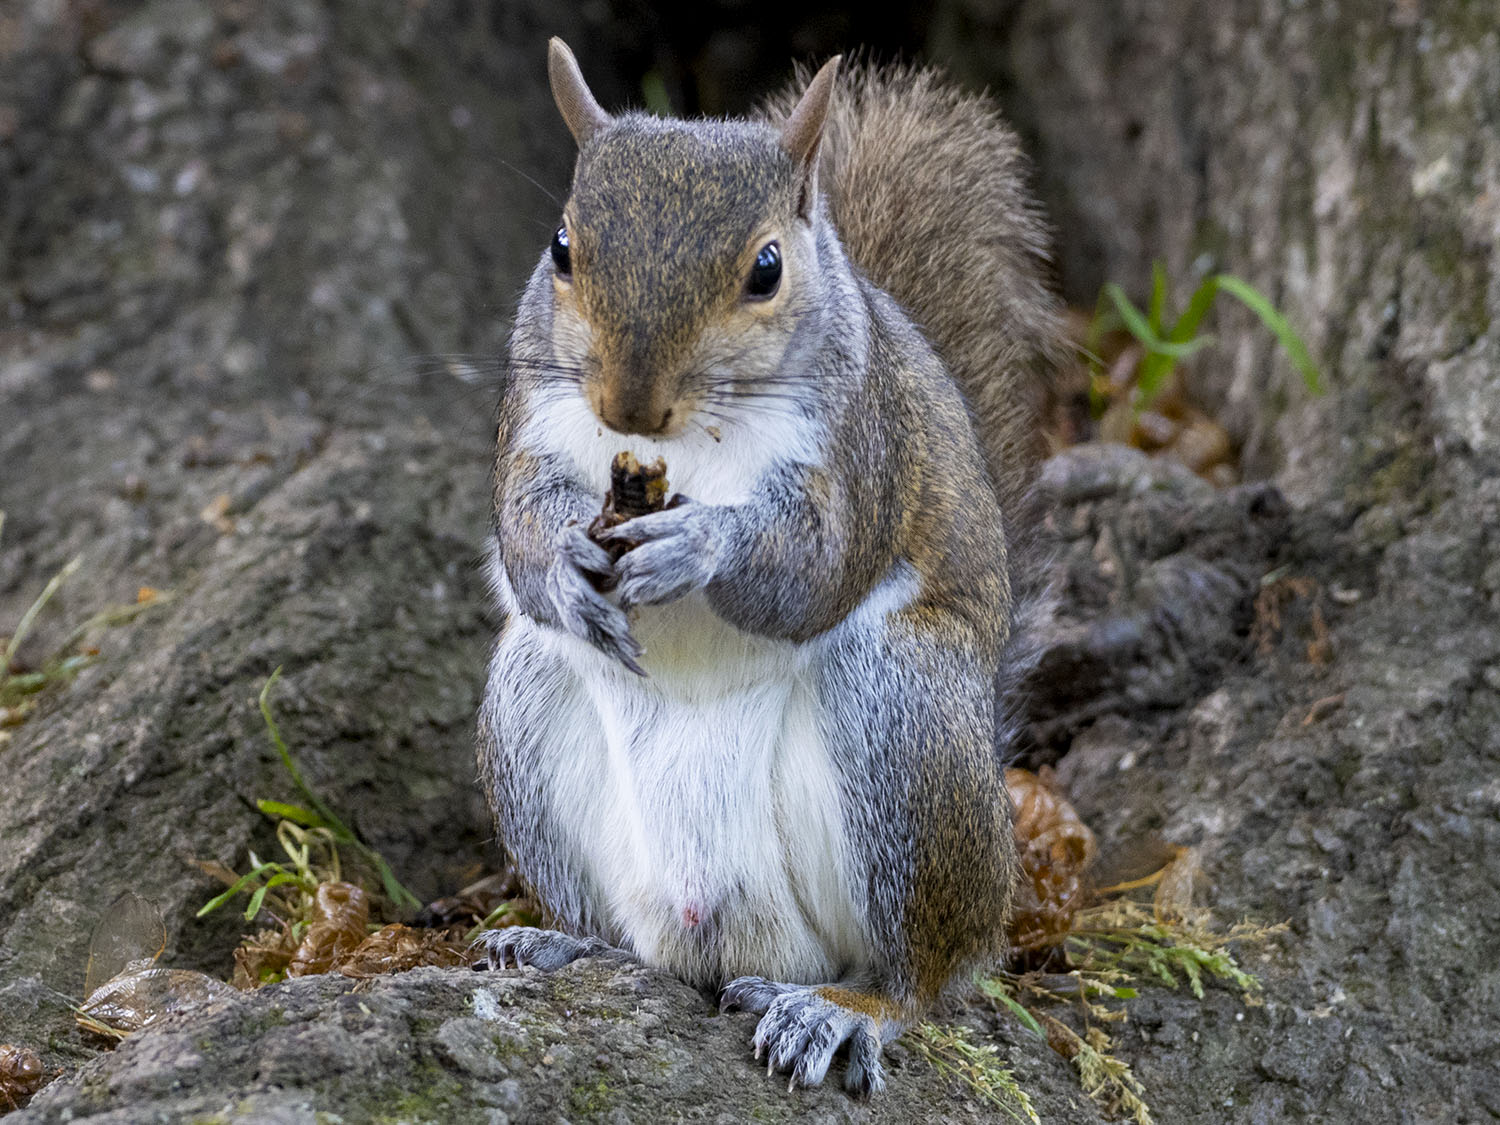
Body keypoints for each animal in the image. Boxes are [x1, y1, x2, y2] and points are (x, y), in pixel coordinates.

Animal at [474, 39, 1062, 1098]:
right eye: (562, 246)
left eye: (766, 268)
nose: (628, 403)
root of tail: (728, 941)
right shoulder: (529, 423)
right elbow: (520, 524)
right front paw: (566, 562)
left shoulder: (863, 444)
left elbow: (810, 571)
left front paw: (702, 544)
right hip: (528, 709)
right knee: (625, 937)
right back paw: (561, 944)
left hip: (903, 725)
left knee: (921, 974)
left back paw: (843, 1008)